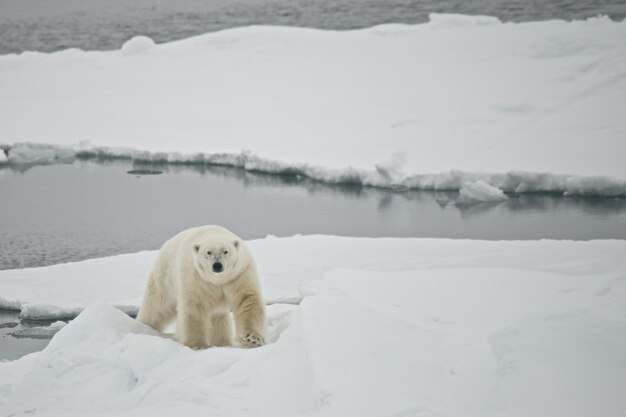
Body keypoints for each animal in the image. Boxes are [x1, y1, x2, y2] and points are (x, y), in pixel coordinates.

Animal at [135, 224, 264, 348]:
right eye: (208, 252)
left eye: (226, 251)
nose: (217, 265)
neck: (217, 280)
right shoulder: (196, 278)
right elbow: (194, 306)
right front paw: (197, 345)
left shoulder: (239, 274)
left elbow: (247, 299)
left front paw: (253, 339)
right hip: (165, 277)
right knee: (157, 306)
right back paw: (143, 326)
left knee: (218, 316)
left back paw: (222, 343)